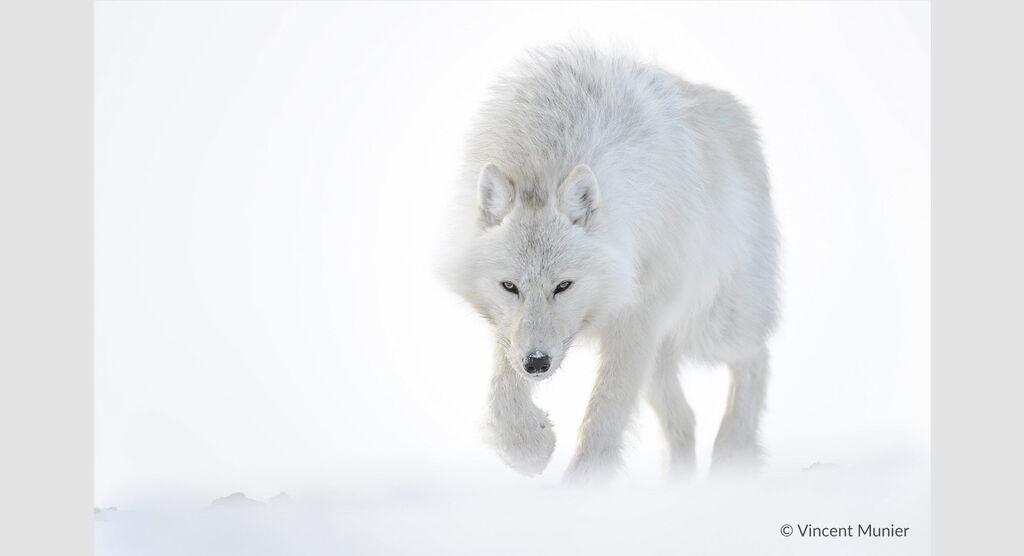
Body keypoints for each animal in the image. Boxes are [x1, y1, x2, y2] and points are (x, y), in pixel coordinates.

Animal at [443, 45, 779, 481]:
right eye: (510, 287)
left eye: (563, 286)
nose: (537, 364)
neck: (546, 155)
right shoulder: (511, 330)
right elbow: (502, 390)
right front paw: (528, 447)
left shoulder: (636, 317)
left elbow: (605, 413)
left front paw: (582, 486)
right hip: (661, 356)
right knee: (685, 420)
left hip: (712, 327)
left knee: (756, 357)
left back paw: (732, 454)